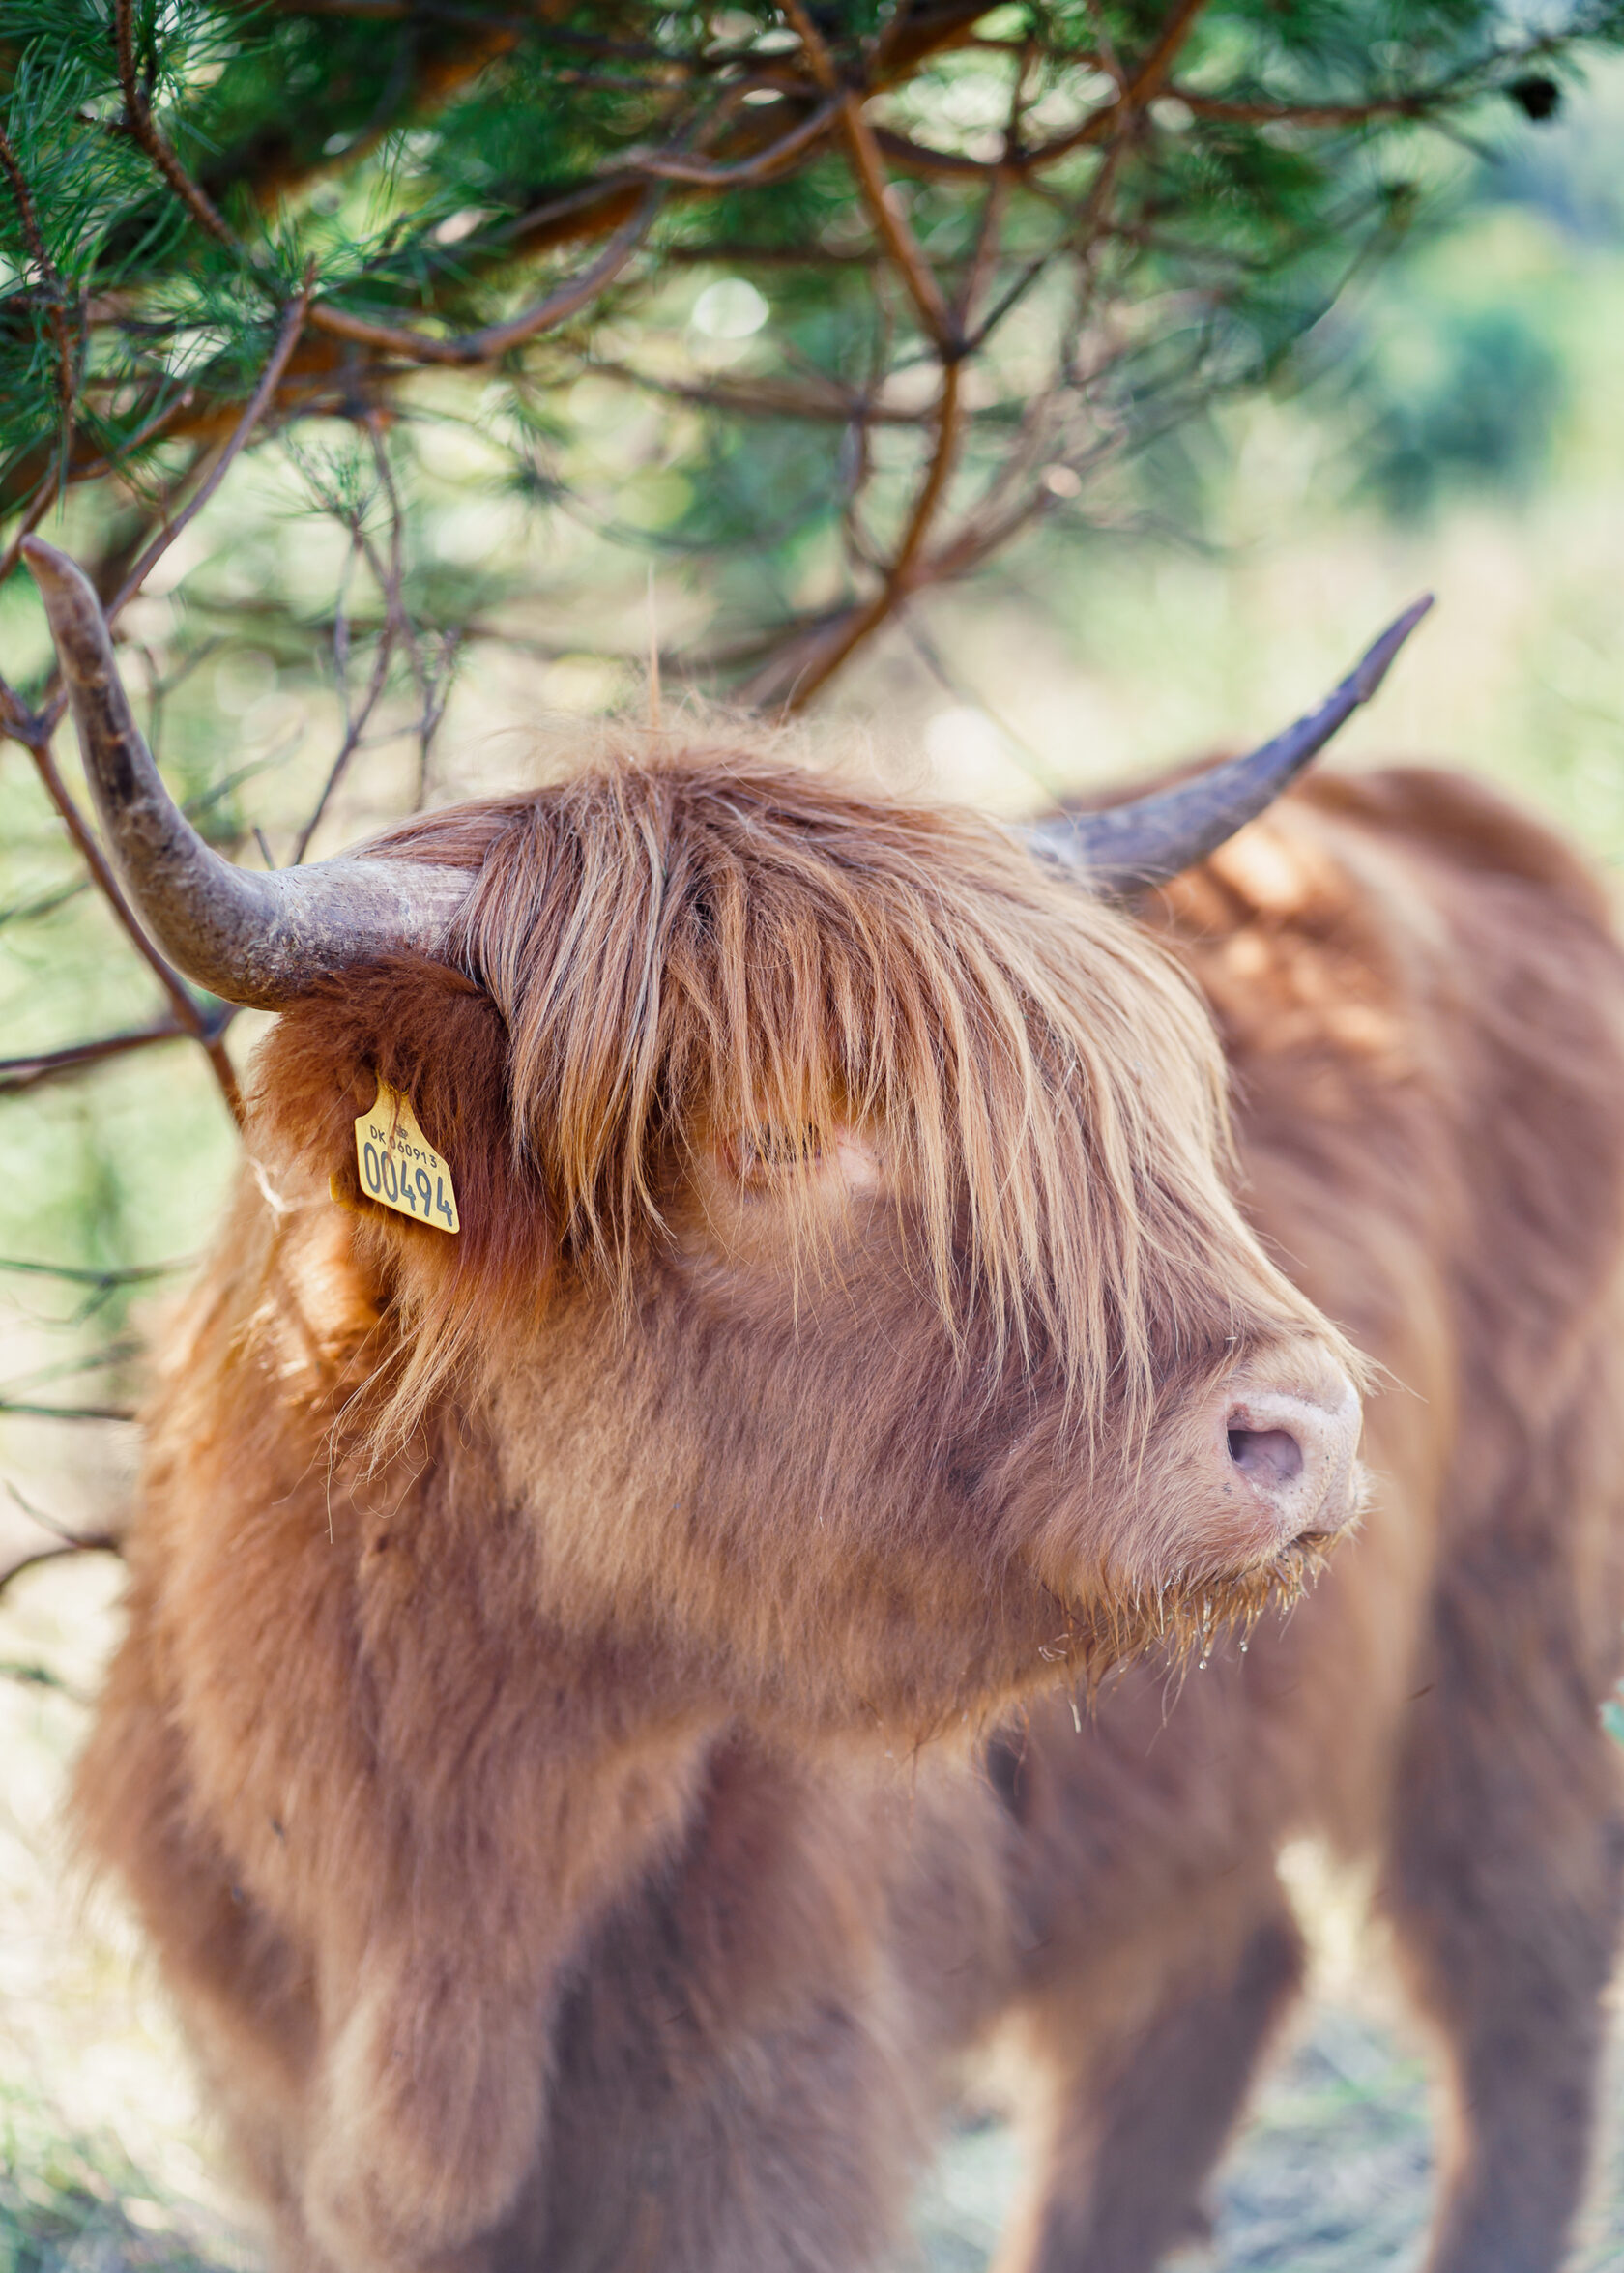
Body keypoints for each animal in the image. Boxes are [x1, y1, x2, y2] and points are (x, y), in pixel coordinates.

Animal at [25, 536, 1624, 2273]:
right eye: (779, 1135)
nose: (1312, 1430)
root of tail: (1457, 812)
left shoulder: (776, 2108)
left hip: (1515, 1627)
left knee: (1519, 1972)